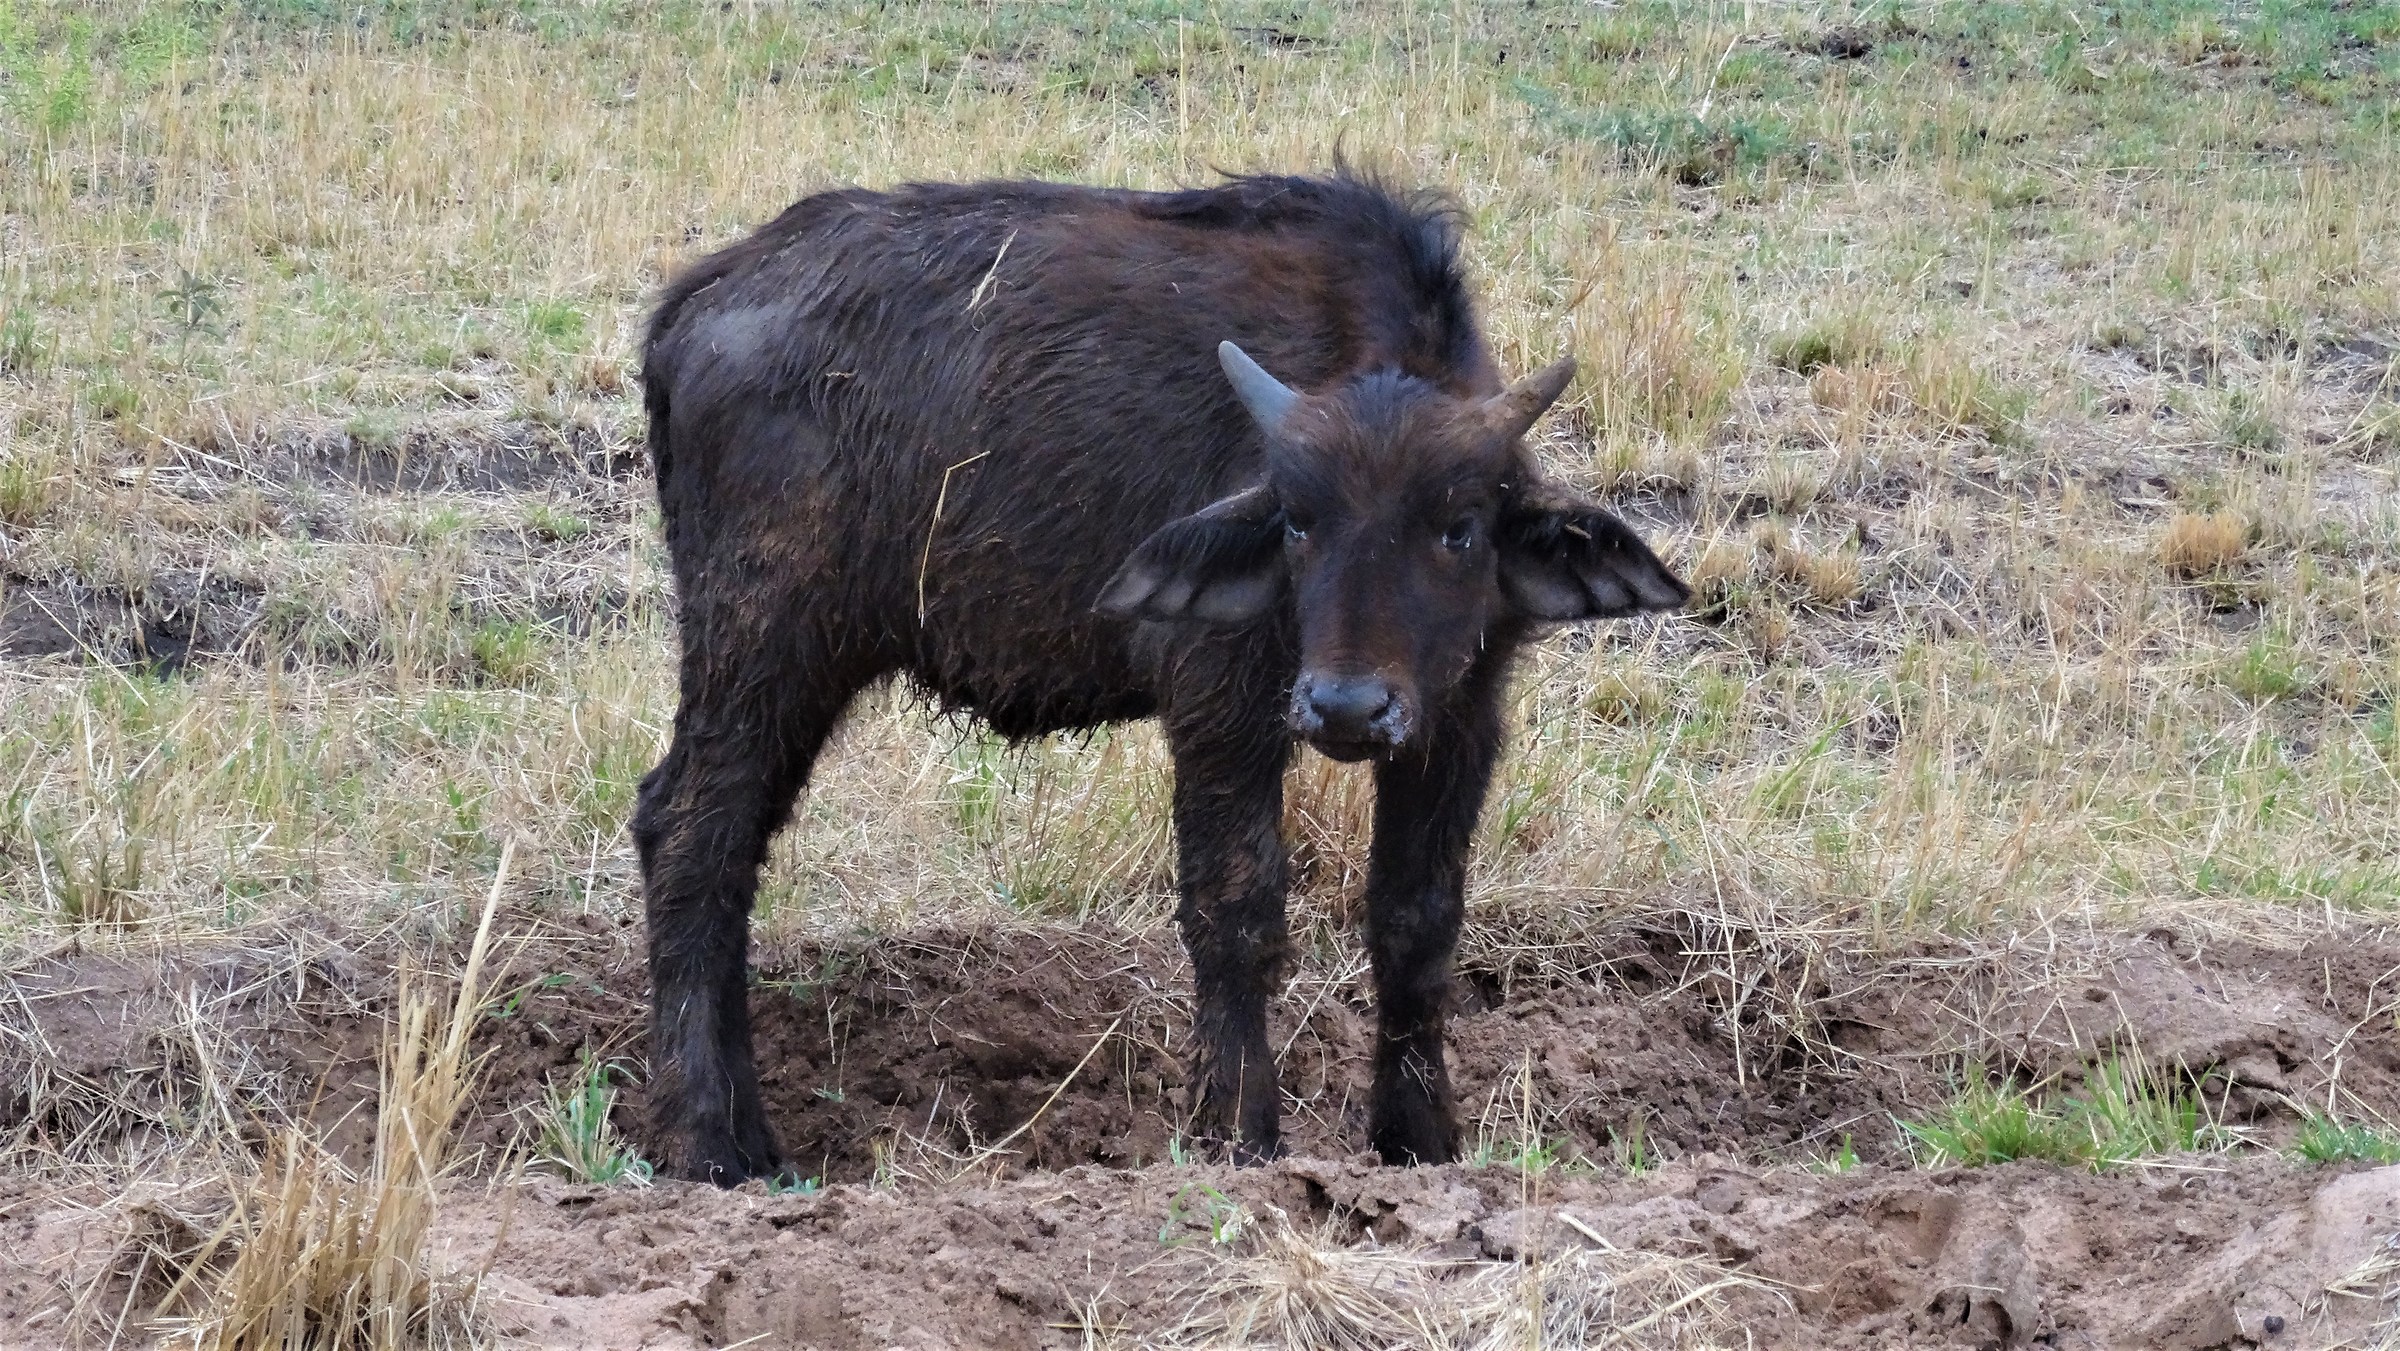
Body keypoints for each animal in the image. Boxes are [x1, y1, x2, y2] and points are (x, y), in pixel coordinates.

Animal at [634, 168, 1688, 1184]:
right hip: (762, 646)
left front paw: (1419, 1141)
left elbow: (1418, 922)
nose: (1346, 706)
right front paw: (1238, 1133)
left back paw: (746, 1135)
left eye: (1460, 526)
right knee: (692, 833)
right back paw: (707, 1143)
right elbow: (1237, 906)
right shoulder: (1222, 709)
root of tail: (707, 296)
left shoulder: (1459, 719)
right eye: (1298, 520)